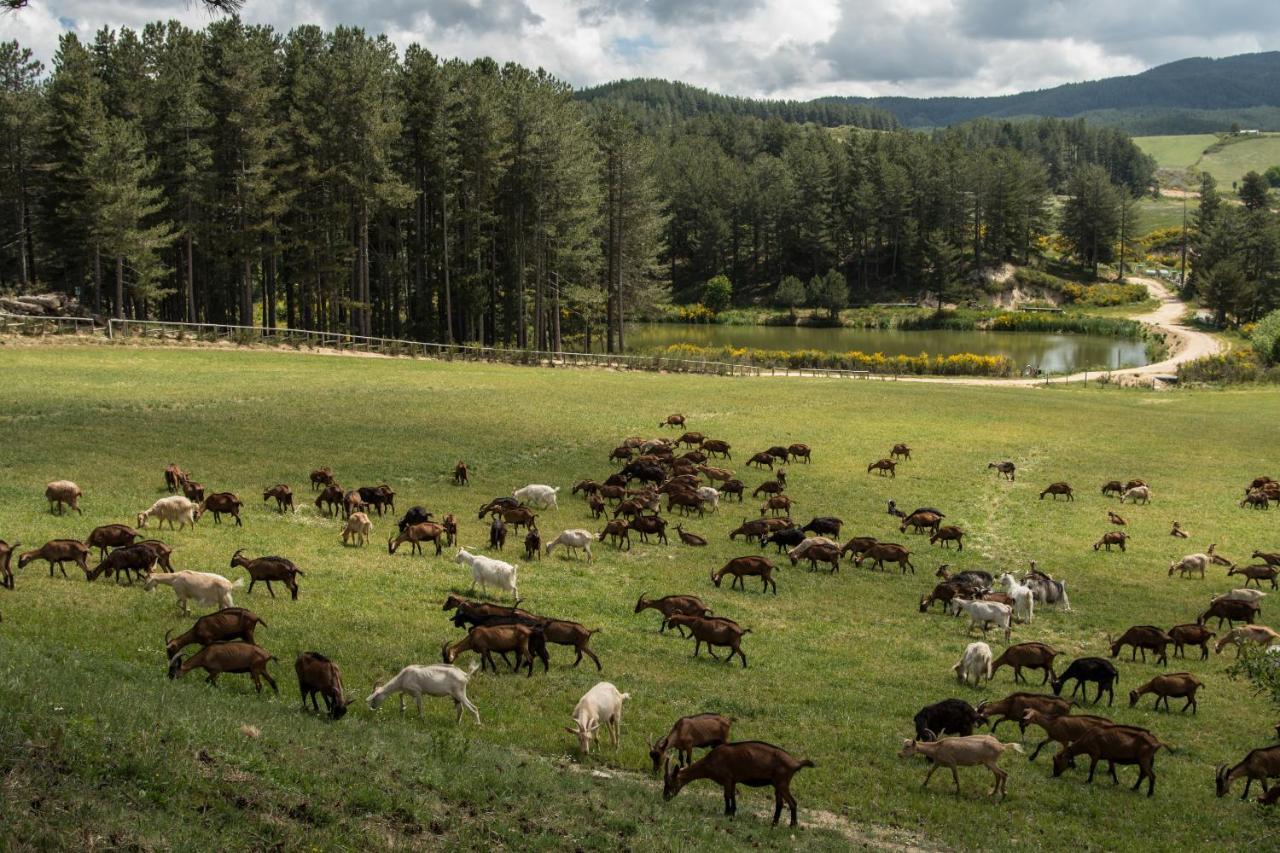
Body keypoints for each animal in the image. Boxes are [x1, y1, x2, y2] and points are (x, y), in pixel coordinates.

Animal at [665, 737, 814, 824]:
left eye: (669, 783)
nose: (665, 797)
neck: (710, 761)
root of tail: (795, 763)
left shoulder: (726, 778)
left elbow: (726, 796)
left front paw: (726, 813)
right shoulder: (733, 780)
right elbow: (732, 796)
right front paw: (732, 813)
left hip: (782, 783)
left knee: (792, 802)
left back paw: (792, 825)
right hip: (778, 785)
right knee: (780, 803)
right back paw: (774, 823)